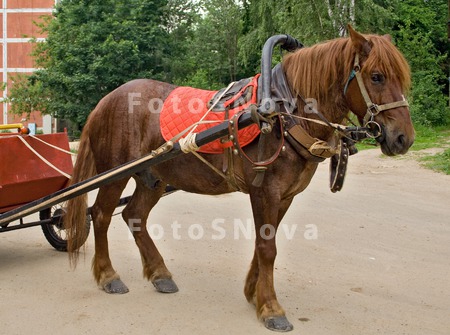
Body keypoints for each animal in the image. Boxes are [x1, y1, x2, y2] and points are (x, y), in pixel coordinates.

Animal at [65, 25, 414, 330]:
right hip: (114, 174)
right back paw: (108, 276)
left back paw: (160, 273)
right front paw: (271, 307)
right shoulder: (265, 193)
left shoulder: (284, 196)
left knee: (134, 215)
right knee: (101, 215)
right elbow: (268, 248)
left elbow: (263, 244)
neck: (283, 114)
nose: (403, 138)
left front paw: (253, 292)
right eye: (377, 76)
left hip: (154, 177)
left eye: (402, 78)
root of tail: (106, 101)